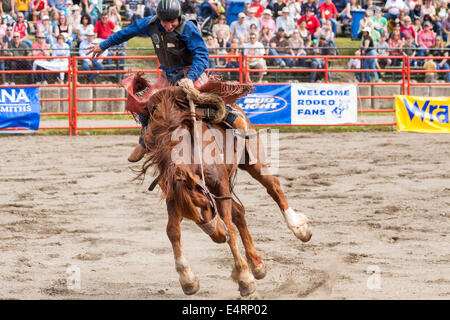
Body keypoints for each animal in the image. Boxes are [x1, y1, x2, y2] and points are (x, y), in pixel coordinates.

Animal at [135, 79, 312, 296]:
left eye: (205, 203)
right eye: (191, 215)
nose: (219, 237)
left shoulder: (220, 187)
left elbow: (229, 227)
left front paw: (244, 278)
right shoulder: (175, 195)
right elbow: (172, 231)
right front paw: (187, 279)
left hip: (252, 161)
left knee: (274, 188)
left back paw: (298, 227)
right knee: (239, 211)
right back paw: (257, 265)